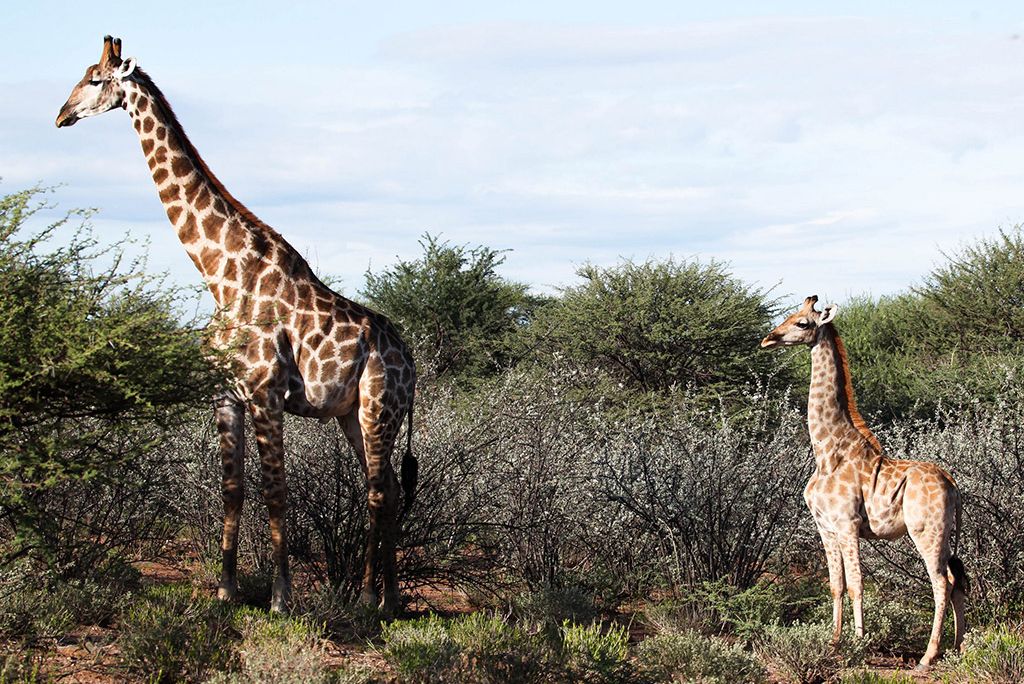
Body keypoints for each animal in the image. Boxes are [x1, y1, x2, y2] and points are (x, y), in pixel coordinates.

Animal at [56, 36, 418, 614]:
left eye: (93, 80)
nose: (61, 115)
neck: (220, 275)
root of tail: (412, 361)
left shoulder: (266, 394)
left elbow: (275, 491)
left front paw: (280, 598)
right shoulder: (225, 395)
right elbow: (233, 489)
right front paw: (225, 590)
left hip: (378, 407)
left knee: (380, 491)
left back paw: (369, 598)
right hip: (350, 414)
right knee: (383, 490)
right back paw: (387, 598)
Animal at [761, 295, 968, 668]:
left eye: (802, 323)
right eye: (790, 315)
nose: (769, 339)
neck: (827, 452)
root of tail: (953, 484)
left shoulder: (847, 524)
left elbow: (857, 583)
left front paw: (857, 645)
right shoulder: (825, 527)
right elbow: (836, 585)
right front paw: (833, 642)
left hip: (926, 531)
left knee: (941, 582)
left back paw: (928, 656)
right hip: (943, 535)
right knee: (957, 579)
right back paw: (957, 648)